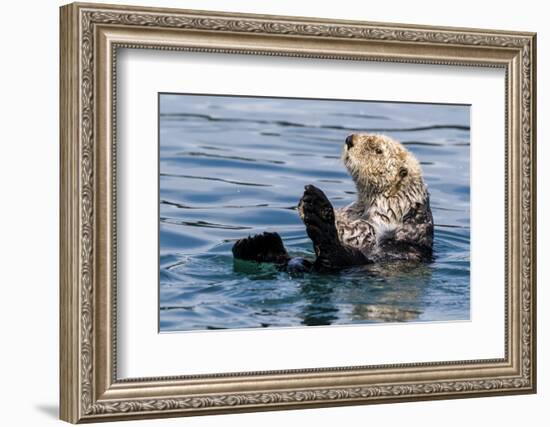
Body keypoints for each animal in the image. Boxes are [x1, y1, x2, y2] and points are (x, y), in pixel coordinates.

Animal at [233, 134, 436, 272]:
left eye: (378, 150)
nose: (350, 139)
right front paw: (303, 204)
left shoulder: (386, 215)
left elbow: (359, 231)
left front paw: (311, 208)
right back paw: (256, 245)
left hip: (352, 260)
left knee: (333, 255)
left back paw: (318, 210)